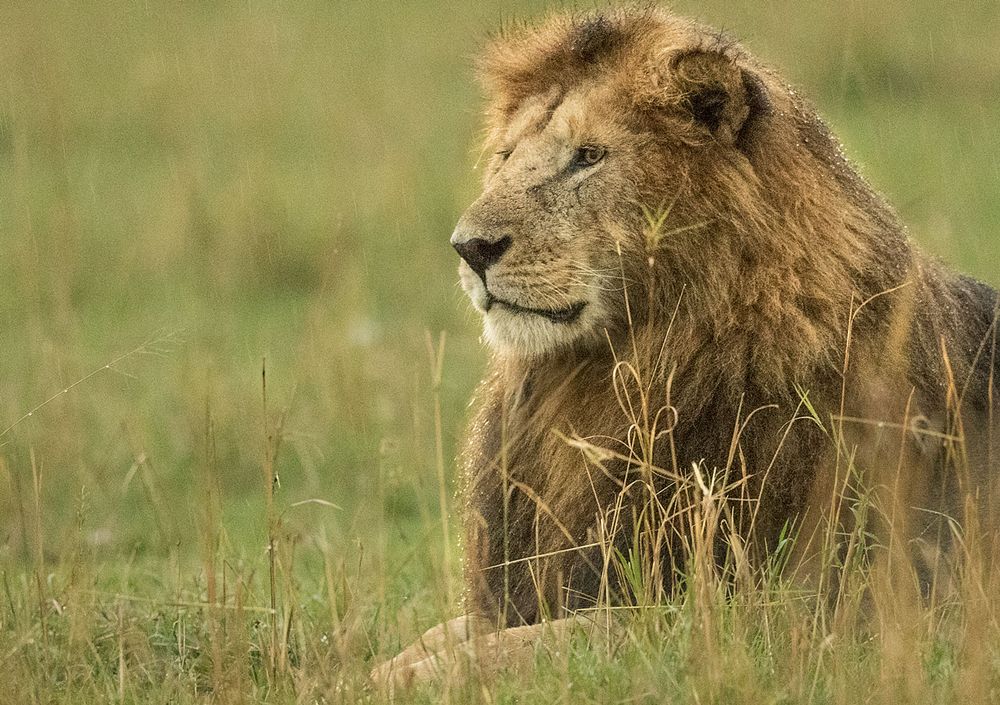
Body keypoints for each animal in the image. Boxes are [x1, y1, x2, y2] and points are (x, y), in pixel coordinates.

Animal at [372, 4, 996, 688]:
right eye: (507, 155)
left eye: (588, 157)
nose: (469, 248)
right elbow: (441, 635)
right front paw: (371, 663)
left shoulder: (765, 613)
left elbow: (542, 644)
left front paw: (386, 681)